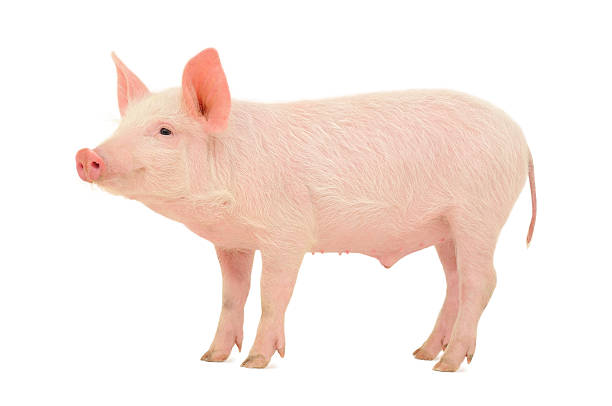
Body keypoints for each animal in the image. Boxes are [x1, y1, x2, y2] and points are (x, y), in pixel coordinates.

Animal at [75, 47, 536, 372]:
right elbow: (232, 295)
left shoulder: (287, 234)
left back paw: (447, 365)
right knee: (455, 282)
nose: (86, 155)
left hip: (480, 215)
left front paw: (255, 363)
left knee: (482, 281)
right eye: (122, 125)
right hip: (446, 230)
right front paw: (210, 357)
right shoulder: (232, 242)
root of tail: (520, 137)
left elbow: (272, 293)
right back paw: (422, 354)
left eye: (165, 131)